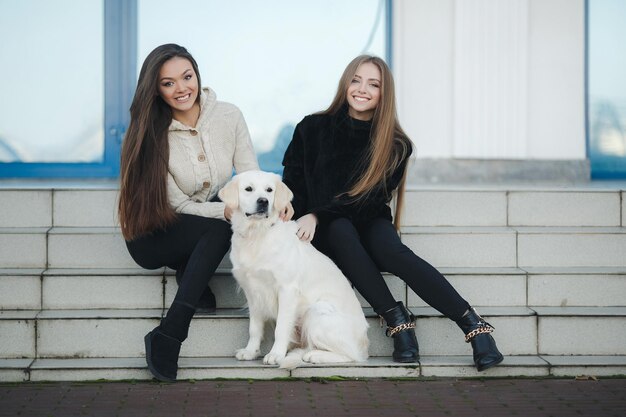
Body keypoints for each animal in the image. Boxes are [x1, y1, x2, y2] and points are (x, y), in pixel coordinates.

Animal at [218, 170, 368, 368]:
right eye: (248, 189)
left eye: (269, 190)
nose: (263, 201)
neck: (257, 233)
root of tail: (364, 341)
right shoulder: (252, 291)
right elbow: (254, 328)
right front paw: (251, 352)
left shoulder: (287, 289)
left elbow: (281, 328)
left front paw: (275, 355)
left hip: (317, 311)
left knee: (351, 356)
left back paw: (315, 356)